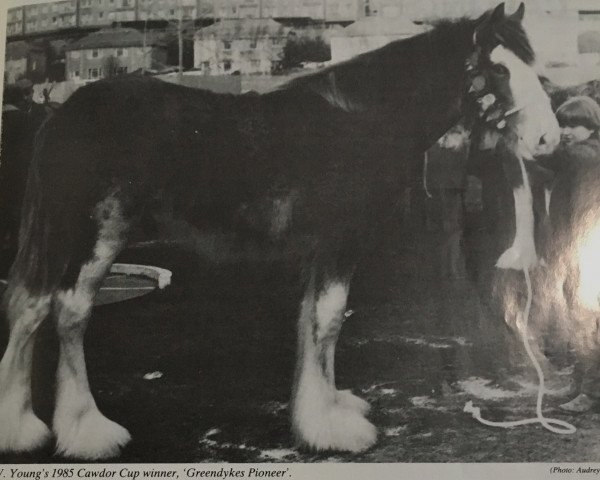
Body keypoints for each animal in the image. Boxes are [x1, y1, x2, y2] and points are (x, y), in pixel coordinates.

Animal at [0, 3, 556, 462]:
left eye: (534, 64)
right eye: (500, 69)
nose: (548, 138)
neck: (362, 120)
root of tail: (62, 115)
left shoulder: (320, 250)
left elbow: (313, 321)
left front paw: (325, 410)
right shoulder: (338, 243)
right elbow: (327, 322)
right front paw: (332, 429)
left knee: (30, 311)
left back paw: (20, 428)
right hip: (97, 237)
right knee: (69, 313)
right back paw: (89, 432)